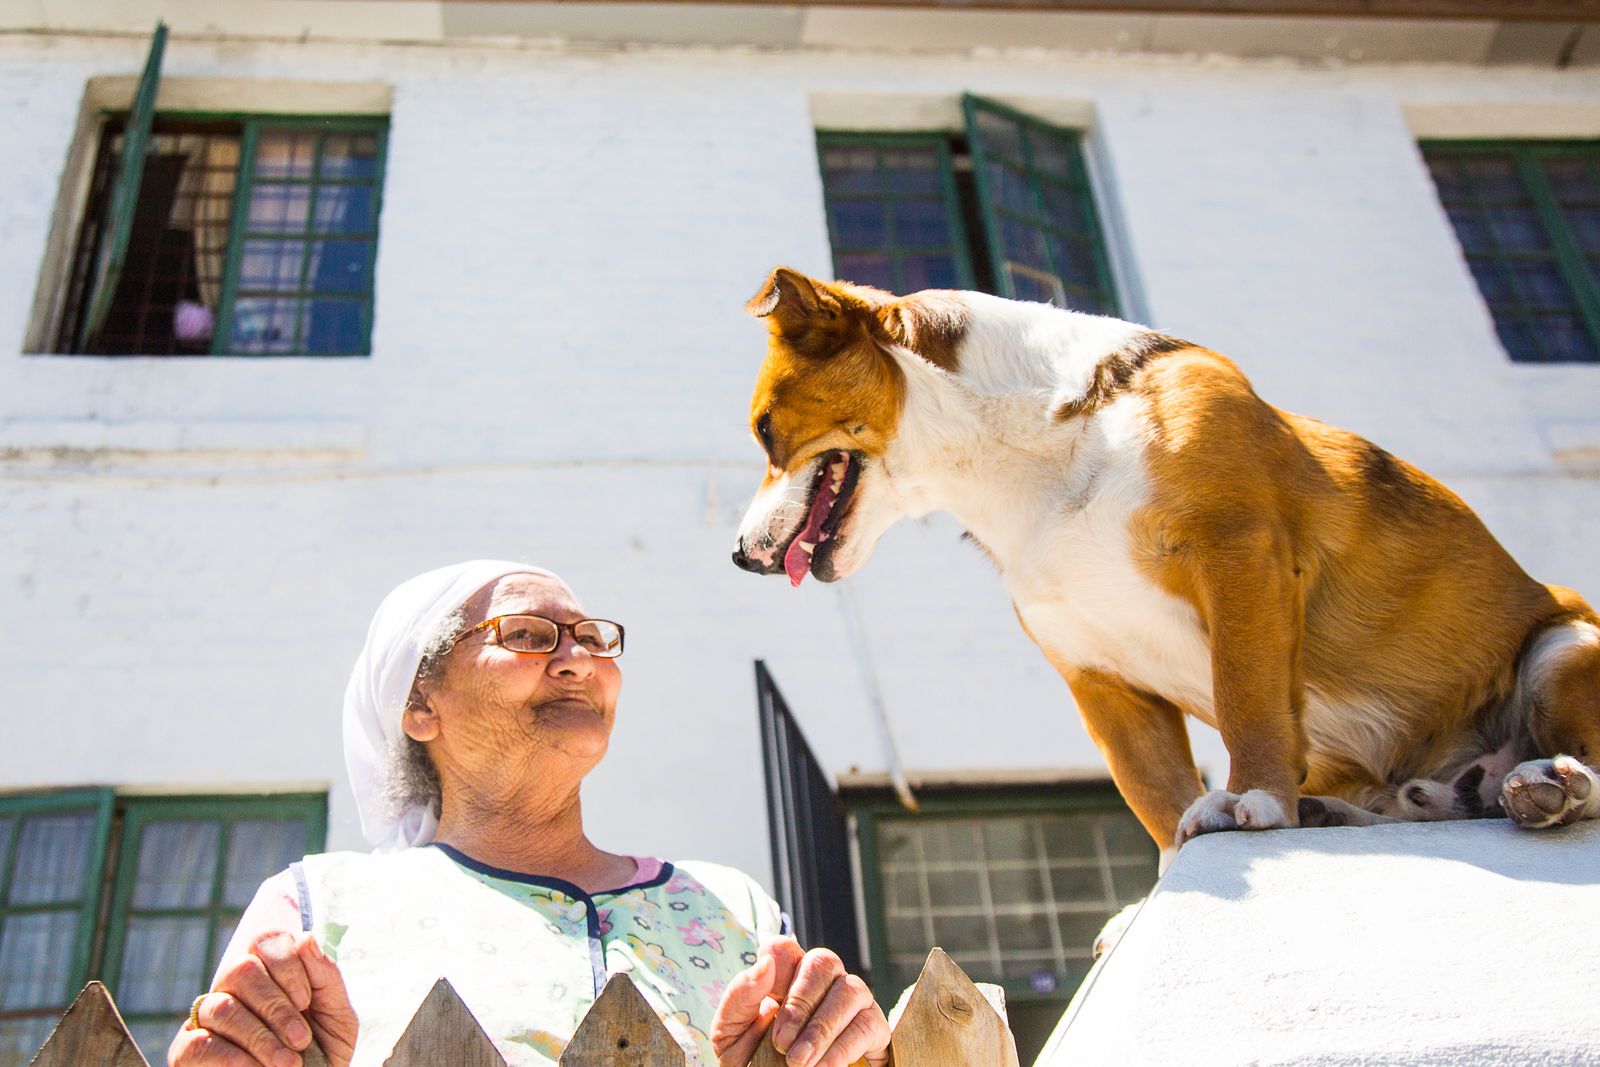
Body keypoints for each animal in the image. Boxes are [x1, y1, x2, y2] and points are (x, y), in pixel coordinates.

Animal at [732, 267, 1593, 857]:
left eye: (768, 430)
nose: (738, 555)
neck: (1014, 447)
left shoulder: (1237, 554)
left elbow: (1247, 697)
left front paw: (1255, 797)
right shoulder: (1095, 671)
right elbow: (1155, 792)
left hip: (1563, 646)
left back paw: (1548, 781)